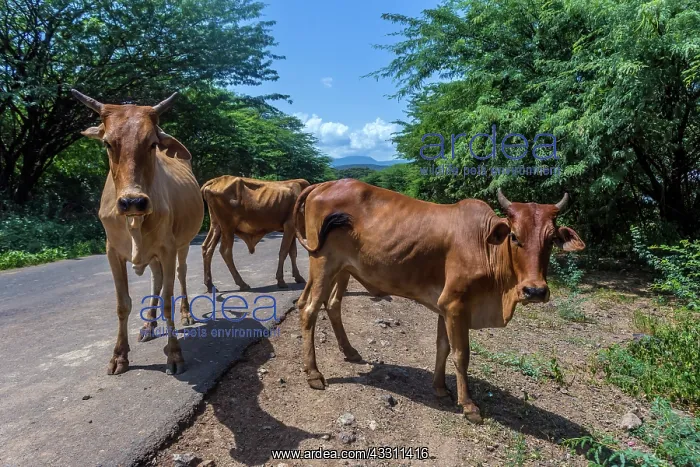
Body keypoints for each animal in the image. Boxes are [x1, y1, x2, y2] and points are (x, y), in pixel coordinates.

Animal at [72, 89, 204, 376]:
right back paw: (149, 325)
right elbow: (123, 304)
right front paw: (119, 355)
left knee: (181, 274)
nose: (133, 202)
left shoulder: (167, 249)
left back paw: (186, 314)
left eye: (152, 143)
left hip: (183, 245)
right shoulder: (112, 252)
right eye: (108, 143)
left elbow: (167, 300)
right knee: (156, 278)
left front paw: (175, 354)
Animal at [293, 179, 585, 424]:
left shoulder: (445, 308)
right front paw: (468, 405)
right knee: (309, 308)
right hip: (324, 263)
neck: (484, 246)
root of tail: (323, 184)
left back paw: (350, 352)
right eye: (514, 236)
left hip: (341, 270)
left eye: (551, 239)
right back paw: (314, 373)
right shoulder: (455, 306)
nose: (535, 291)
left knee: (330, 305)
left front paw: (440, 388)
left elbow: (443, 347)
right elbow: (461, 354)